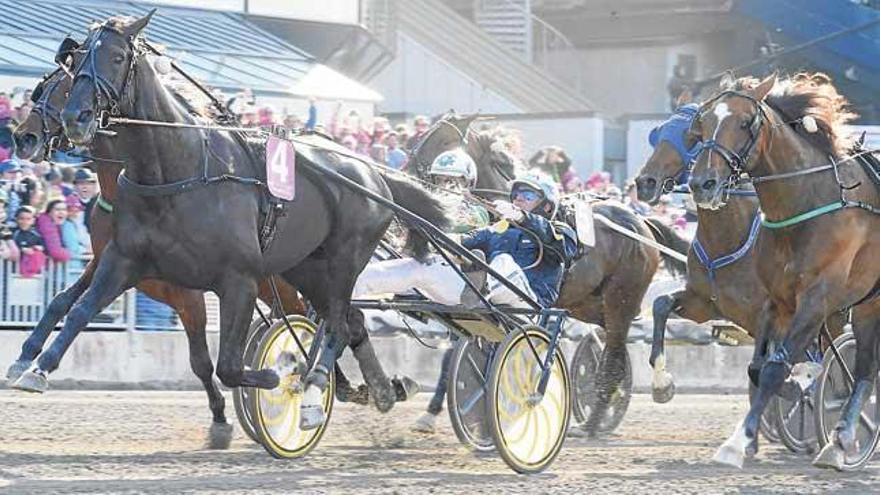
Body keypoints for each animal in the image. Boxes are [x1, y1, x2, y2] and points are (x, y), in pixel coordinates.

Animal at [19, 11, 446, 430]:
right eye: (75, 63)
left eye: (118, 57)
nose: (72, 119)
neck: (178, 171)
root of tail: (373, 173)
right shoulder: (123, 259)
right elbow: (74, 307)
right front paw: (33, 366)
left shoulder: (234, 281)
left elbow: (225, 364)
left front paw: (276, 375)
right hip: (305, 268)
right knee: (350, 319)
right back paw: (381, 390)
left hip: (341, 262)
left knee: (337, 324)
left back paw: (314, 389)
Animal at [692, 71, 876, 470]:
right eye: (702, 123)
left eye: (745, 122)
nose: (702, 184)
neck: (810, 201)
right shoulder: (777, 301)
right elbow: (758, 369)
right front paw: (745, 437)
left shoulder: (817, 301)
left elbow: (776, 368)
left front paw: (737, 444)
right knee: (865, 368)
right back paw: (839, 440)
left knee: (864, 369)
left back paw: (841, 440)